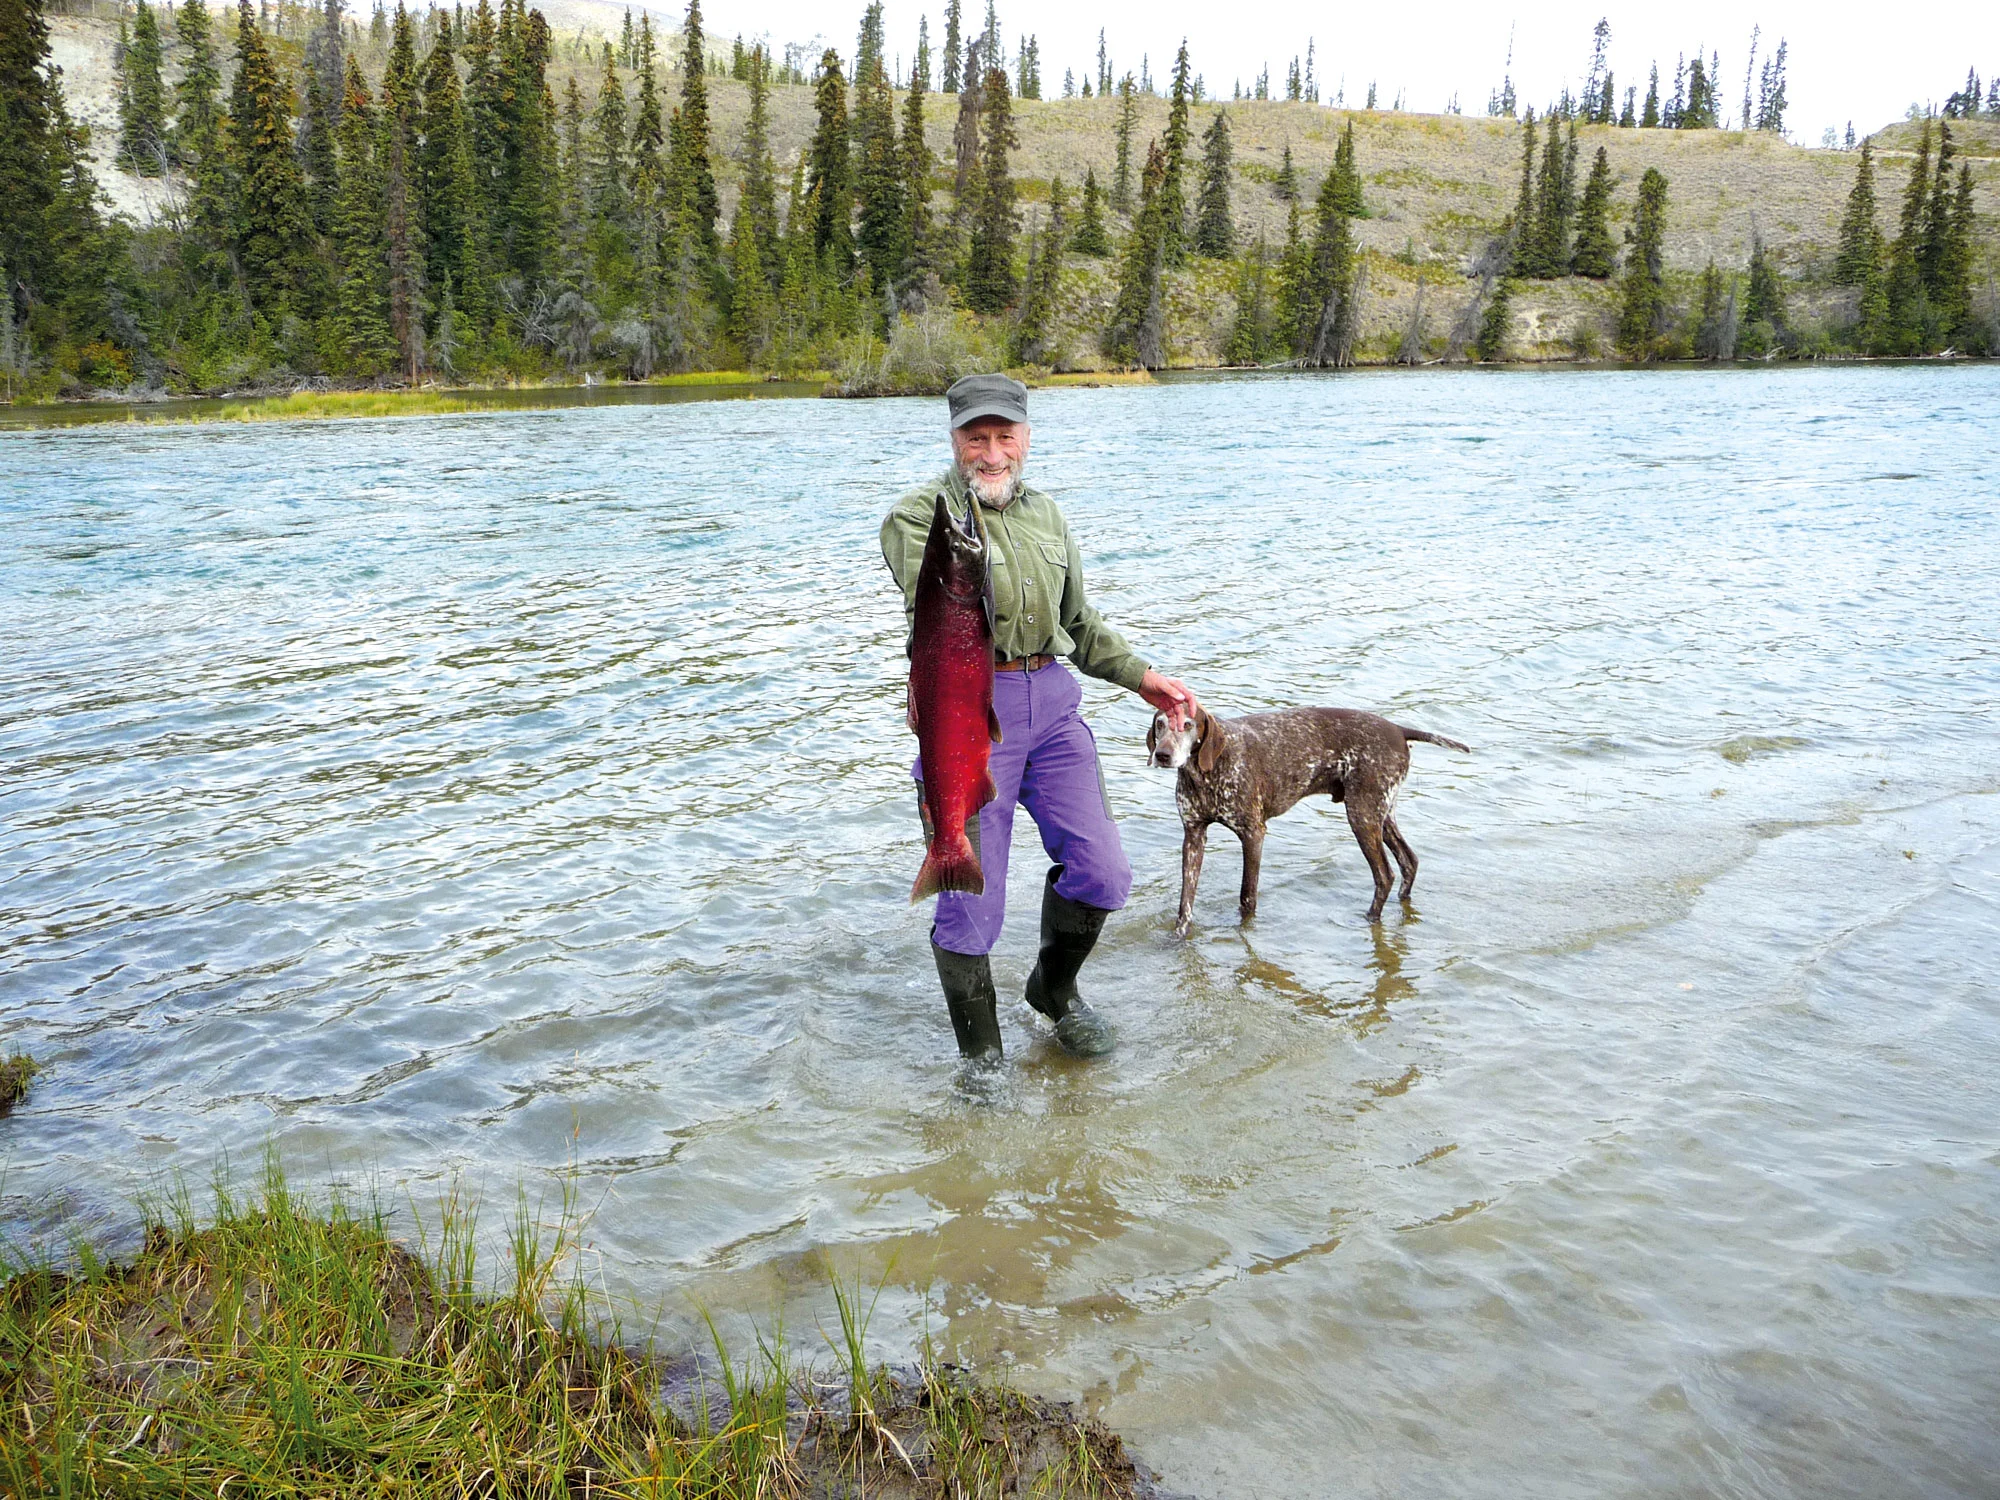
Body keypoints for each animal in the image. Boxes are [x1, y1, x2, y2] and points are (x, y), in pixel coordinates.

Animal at [1152, 712, 1464, 936]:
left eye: (1188, 725)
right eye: (1160, 724)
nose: (1162, 755)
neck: (1206, 773)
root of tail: (1398, 729)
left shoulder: (1252, 834)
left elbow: (1247, 897)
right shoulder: (1193, 836)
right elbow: (1185, 902)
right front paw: (1179, 935)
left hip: (1362, 816)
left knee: (1385, 875)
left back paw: (1369, 918)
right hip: (1381, 816)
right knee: (1409, 861)